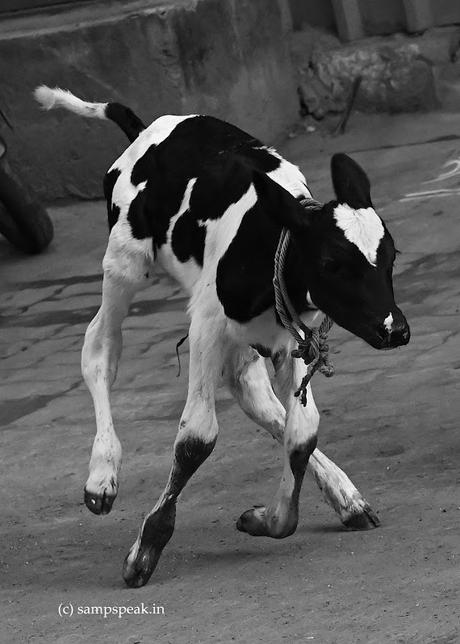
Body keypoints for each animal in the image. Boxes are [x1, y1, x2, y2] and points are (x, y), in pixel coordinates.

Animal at [34, 86, 410, 588]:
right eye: (331, 263)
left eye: (390, 255)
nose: (396, 329)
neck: (265, 241)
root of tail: (148, 127)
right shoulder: (207, 322)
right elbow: (197, 436)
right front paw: (146, 547)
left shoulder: (295, 330)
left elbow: (302, 430)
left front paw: (268, 519)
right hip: (124, 261)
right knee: (99, 348)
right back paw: (102, 475)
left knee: (255, 396)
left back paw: (345, 497)